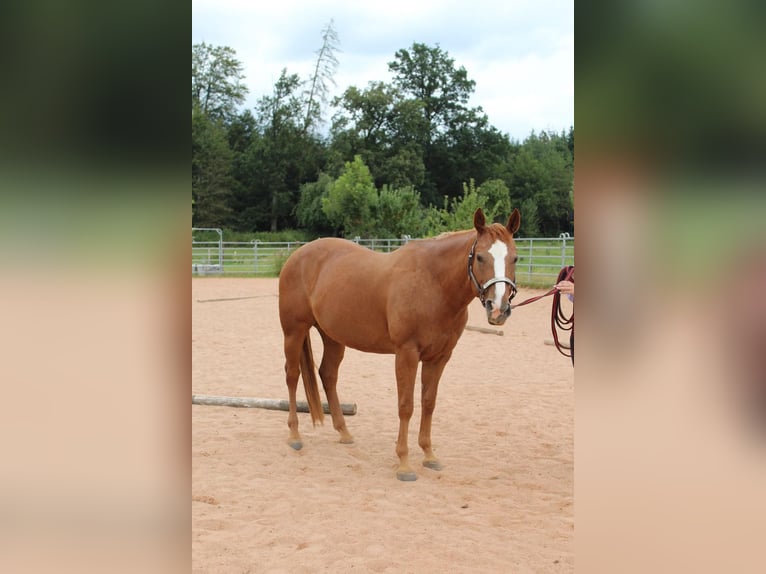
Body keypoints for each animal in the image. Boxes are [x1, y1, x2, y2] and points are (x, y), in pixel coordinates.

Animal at [278, 207, 521, 481]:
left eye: (515, 258)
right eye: (480, 257)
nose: (498, 309)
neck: (433, 284)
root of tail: (297, 255)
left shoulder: (439, 357)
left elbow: (428, 403)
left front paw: (429, 455)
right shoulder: (406, 353)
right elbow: (406, 406)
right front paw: (404, 464)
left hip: (333, 338)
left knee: (328, 375)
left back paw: (344, 432)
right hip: (294, 332)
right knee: (292, 375)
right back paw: (294, 435)